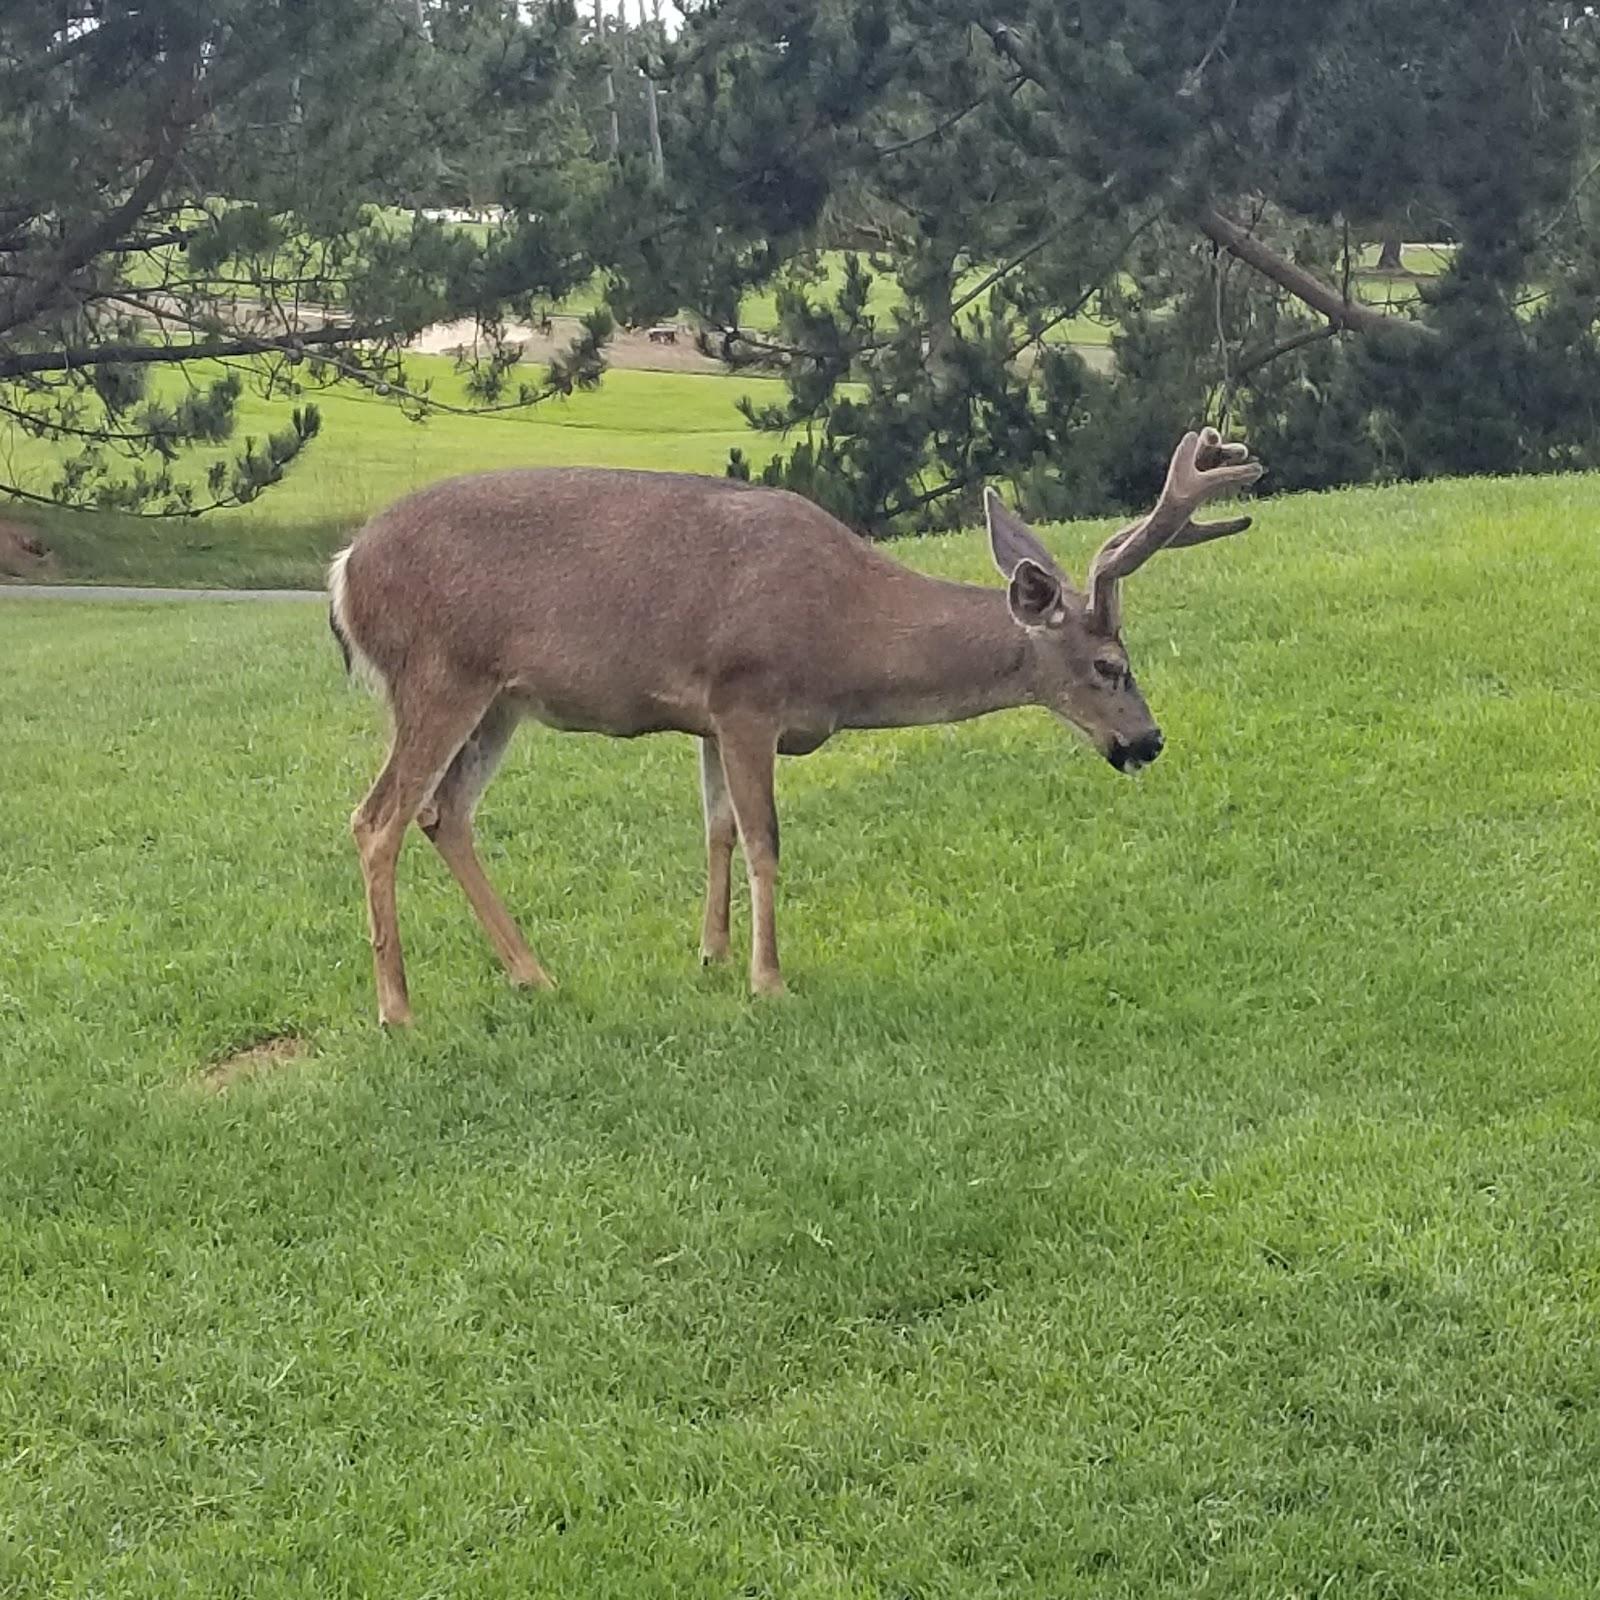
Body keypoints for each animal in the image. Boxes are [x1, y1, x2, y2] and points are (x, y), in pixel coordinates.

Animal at [331, 425, 1267, 1024]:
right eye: (1111, 667)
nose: (1148, 740)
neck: (844, 641)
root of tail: (343, 571)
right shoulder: (749, 693)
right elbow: (764, 841)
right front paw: (768, 980)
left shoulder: (706, 717)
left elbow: (713, 828)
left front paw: (710, 955)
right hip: (439, 671)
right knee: (377, 818)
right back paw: (397, 1009)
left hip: (501, 699)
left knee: (444, 812)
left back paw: (534, 976)